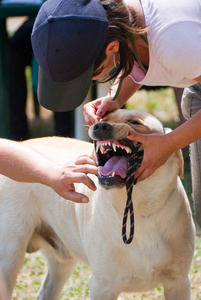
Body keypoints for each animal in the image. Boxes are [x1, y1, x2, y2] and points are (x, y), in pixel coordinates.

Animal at [0, 110, 195, 300]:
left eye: (134, 122)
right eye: (102, 117)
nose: (100, 126)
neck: (140, 210)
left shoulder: (179, 281)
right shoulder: (102, 286)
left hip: (62, 259)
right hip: (10, 257)